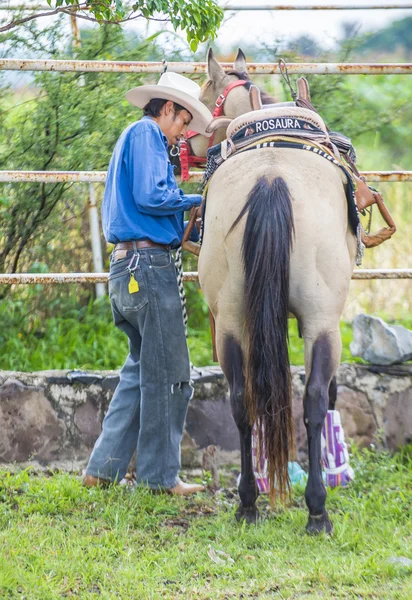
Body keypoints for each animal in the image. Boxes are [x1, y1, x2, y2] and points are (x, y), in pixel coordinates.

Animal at [196, 49, 358, 532]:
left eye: (202, 97)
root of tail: (271, 179)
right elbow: (327, 393)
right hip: (322, 321)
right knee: (314, 399)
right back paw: (317, 509)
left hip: (232, 321)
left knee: (241, 400)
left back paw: (248, 502)